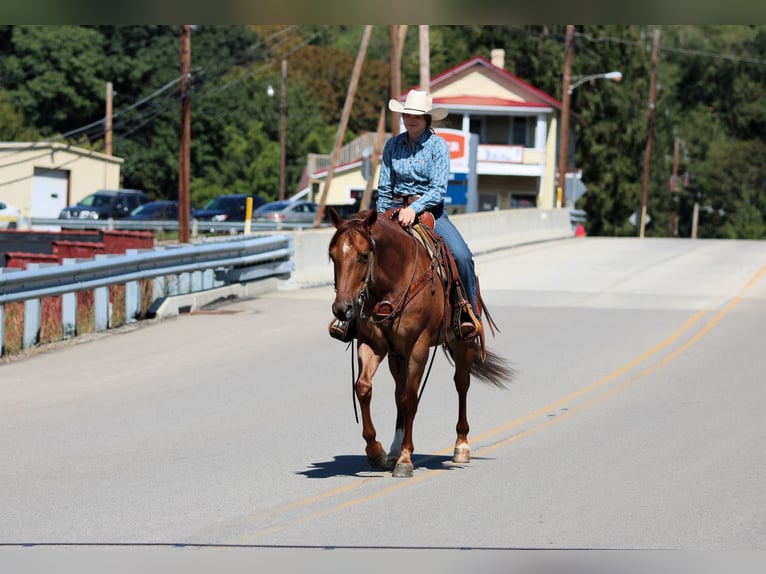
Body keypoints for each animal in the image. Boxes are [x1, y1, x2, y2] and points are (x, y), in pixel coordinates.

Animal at [328, 207, 513, 478]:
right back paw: (394, 449)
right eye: (333, 256)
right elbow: (363, 388)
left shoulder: (418, 346)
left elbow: (409, 399)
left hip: (462, 344)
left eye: (363, 256)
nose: (342, 309)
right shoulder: (372, 344)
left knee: (461, 384)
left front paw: (405, 460)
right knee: (398, 389)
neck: (392, 284)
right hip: (397, 357)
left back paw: (461, 445)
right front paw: (376, 452)